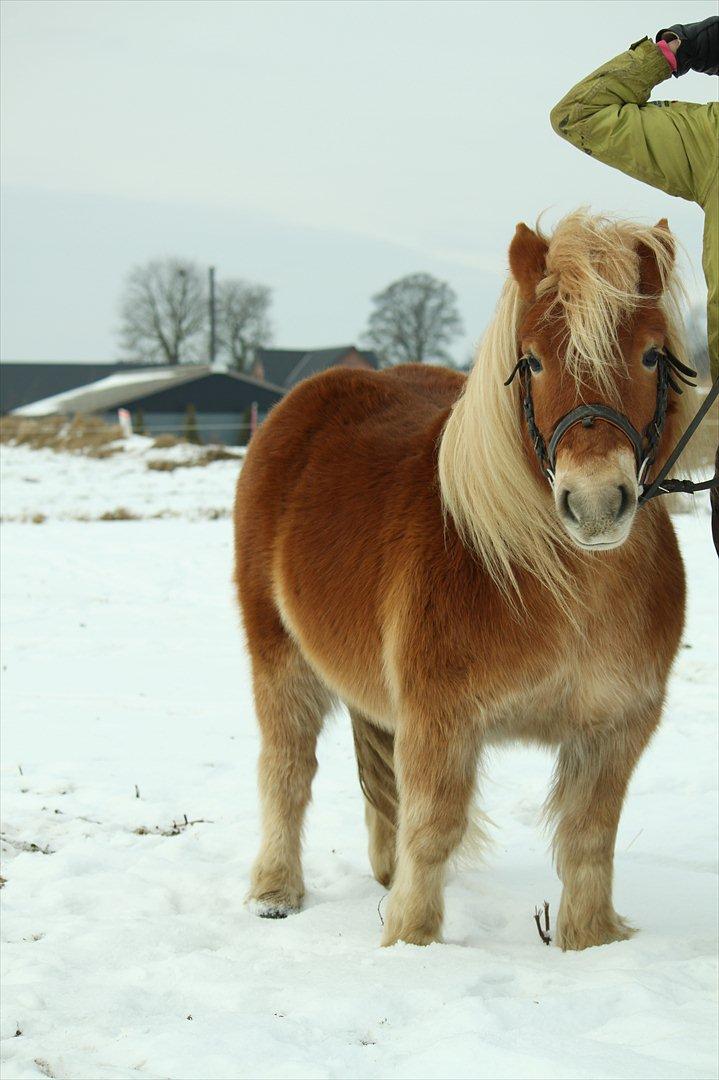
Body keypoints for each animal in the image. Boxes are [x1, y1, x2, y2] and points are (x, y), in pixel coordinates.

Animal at [234, 212, 695, 954]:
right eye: (531, 360)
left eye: (653, 356)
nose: (596, 503)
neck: (557, 582)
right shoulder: (440, 721)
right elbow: (433, 830)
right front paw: (411, 944)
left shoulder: (615, 728)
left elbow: (589, 839)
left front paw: (590, 943)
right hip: (279, 656)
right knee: (287, 771)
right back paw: (275, 892)